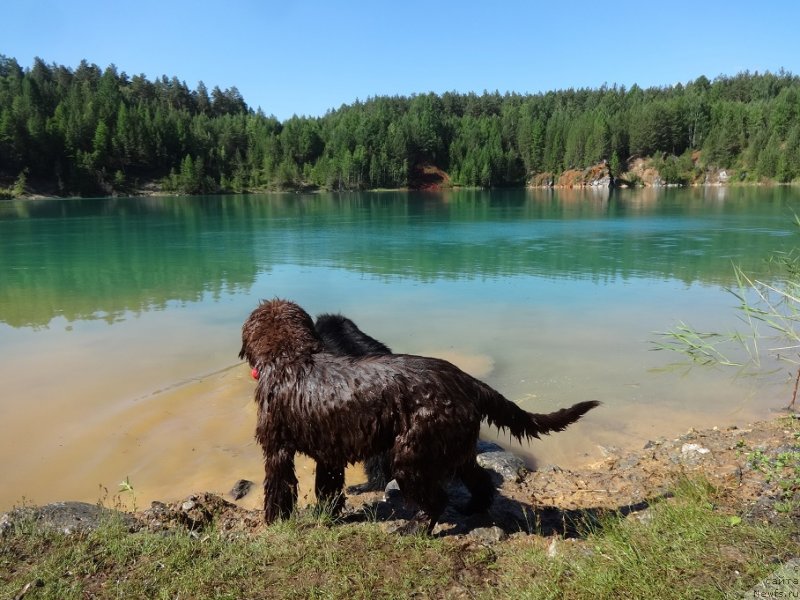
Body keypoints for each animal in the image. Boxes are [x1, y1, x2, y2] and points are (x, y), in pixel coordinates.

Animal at [241, 300, 596, 536]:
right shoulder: (329, 453)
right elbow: (327, 488)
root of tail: (466, 381)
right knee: (479, 482)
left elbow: (277, 490)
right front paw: (327, 514)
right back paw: (473, 508)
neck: (291, 358)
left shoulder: (277, 449)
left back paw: (415, 529)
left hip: (412, 453)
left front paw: (273, 523)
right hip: (454, 447)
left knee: (436, 499)